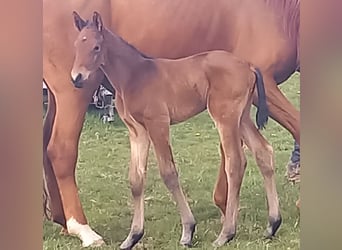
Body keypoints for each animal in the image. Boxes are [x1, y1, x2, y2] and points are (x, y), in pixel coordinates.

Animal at [43, 0, 300, 247]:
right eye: (77, 45)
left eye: (96, 47)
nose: (77, 78)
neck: (135, 74)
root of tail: (248, 66)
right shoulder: (137, 130)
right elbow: (136, 179)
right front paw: (133, 236)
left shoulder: (158, 124)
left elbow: (169, 173)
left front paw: (188, 230)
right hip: (240, 116)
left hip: (227, 115)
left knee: (238, 161)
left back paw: (228, 232)